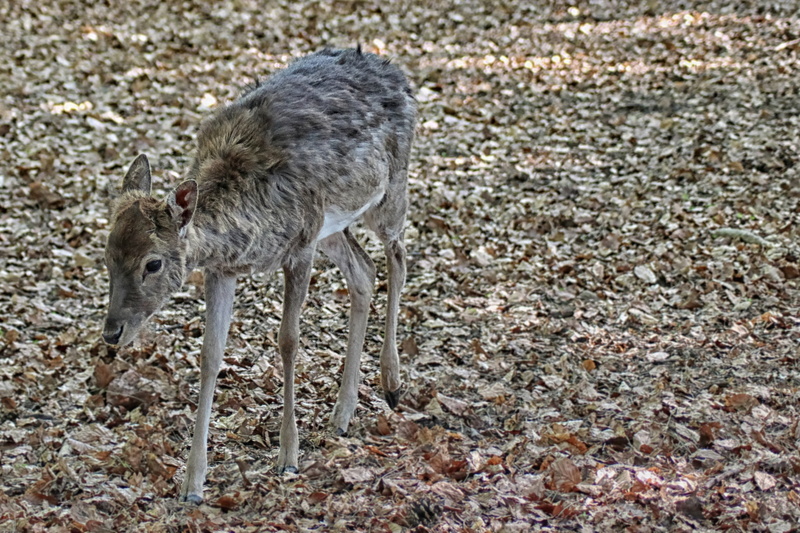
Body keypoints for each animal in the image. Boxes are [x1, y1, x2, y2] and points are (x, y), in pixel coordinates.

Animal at [101, 48, 416, 503]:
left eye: (153, 263)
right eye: (107, 255)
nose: (111, 332)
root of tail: (398, 73)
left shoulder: (300, 246)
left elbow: (288, 341)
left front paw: (288, 455)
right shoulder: (221, 269)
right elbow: (210, 355)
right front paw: (192, 483)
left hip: (389, 191)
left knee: (398, 258)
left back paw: (391, 382)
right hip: (332, 227)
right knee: (364, 271)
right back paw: (342, 412)